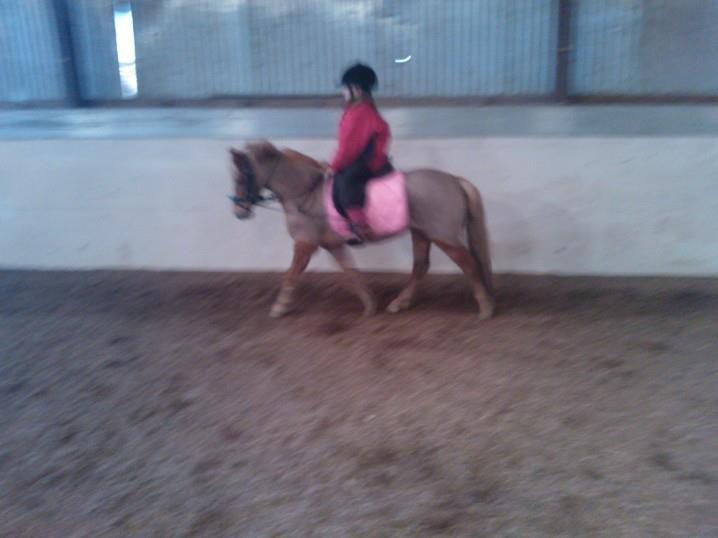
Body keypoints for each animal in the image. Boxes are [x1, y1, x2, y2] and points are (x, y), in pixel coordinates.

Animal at [229, 141, 494, 320]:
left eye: (241, 178)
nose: (239, 212)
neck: (305, 193)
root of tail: (454, 180)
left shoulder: (305, 244)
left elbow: (291, 274)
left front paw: (279, 307)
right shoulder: (333, 244)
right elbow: (351, 272)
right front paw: (369, 305)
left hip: (443, 236)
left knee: (468, 264)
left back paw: (485, 308)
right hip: (421, 232)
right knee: (421, 266)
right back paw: (399, 303)